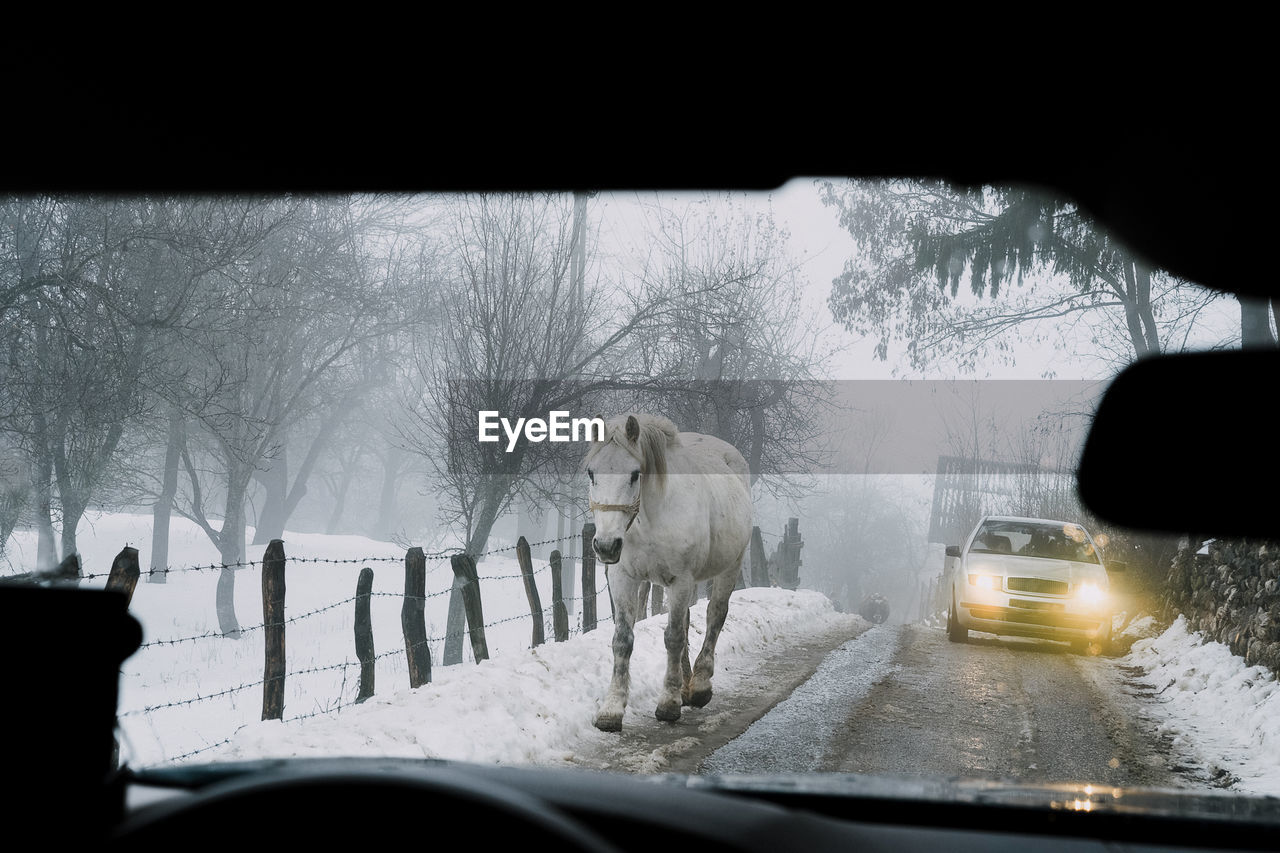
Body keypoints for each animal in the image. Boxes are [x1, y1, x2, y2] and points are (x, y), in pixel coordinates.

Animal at [586, 412, 752, 732]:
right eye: (591, 473)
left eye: (634, 474)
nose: (606, 545)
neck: (650, 518)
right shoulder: (622, 578)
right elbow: (623, 640)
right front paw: (611, 710)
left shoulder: (680, 580)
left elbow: (673, 637)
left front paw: (668, 703)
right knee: (687, 620)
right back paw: (687, 686)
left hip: (729, 567)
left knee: (715, 616)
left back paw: (699, 686)